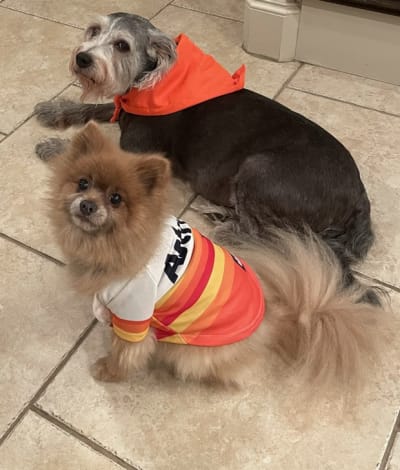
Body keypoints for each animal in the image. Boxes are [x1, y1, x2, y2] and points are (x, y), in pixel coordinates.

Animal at [34, 13, 378, 304]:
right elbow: (96, 109)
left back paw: (226, 227)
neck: (149, 82)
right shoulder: (123, 111)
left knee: (268, 234)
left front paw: (54, 147)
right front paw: (55, 111)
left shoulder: (138, 149)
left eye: (122, 45)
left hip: (259, 168)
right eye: (94, 30)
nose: (82, 58)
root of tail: (360, 198)